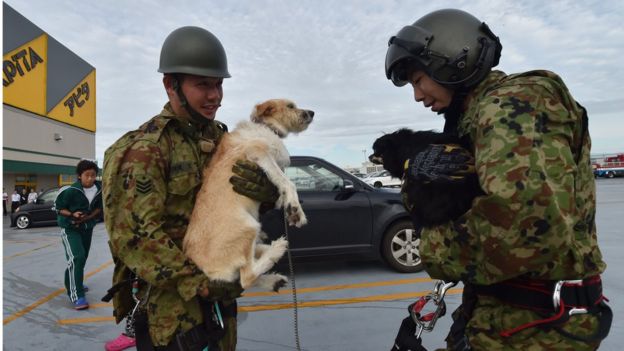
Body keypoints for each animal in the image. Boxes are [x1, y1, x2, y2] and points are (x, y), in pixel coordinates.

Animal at [183, 98, 314, 292]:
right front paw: (295, 210)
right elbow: (287, 182)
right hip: (248, 226)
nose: (312, 113)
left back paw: (271, 267)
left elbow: (280, 185)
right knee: (246, 277)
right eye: (290, 106)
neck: (268, 128)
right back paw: (276, 249)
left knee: (242, 274)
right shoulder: (259, 152)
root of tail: (204, 269)